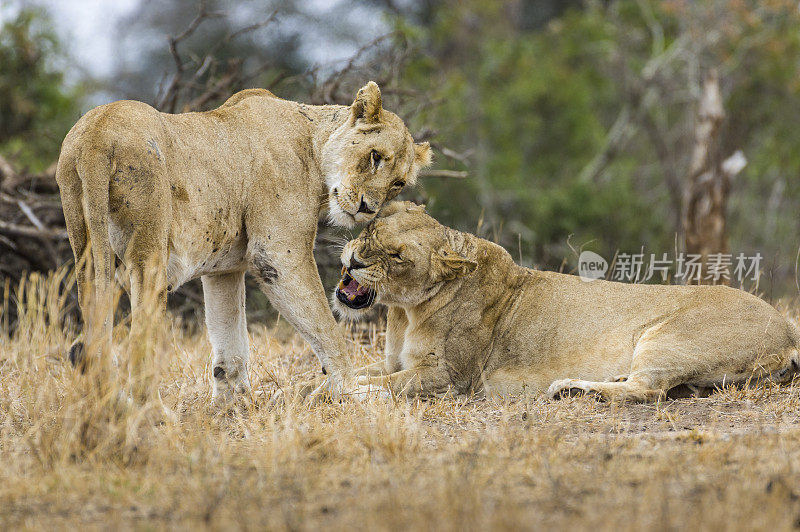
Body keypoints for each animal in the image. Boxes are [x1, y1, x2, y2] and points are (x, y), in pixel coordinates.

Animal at [332, 202, 800, 402]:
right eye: (369, 231)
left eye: (397, 256)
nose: (354, 260)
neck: (404, 311)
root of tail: (786, 325)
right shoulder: (396, 362)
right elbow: (355, 372)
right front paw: (324, 385)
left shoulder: (450, 379)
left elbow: (381, 384)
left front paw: (347, 392)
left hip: (669, 338)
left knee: (648, 390)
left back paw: (570, 388)